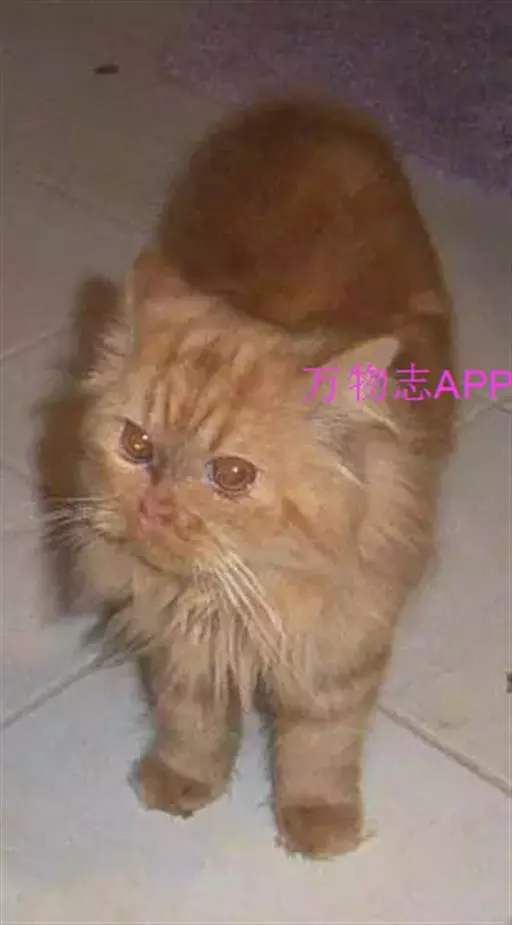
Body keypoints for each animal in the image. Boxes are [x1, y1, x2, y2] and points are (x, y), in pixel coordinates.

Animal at [76, 97, 455, 858]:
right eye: (135, 444)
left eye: (230, 474)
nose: (155, 505)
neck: (240, 598)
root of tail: (306, 108)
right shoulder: (178, 641)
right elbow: (191, 718)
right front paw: (184, 779)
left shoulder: (342, 649)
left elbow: (319, 747)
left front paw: (319, 820)